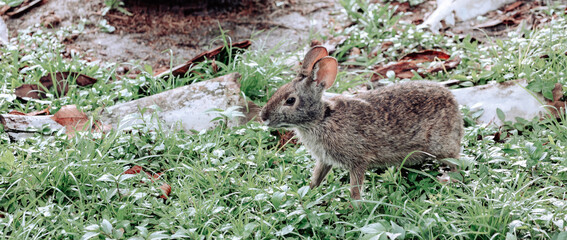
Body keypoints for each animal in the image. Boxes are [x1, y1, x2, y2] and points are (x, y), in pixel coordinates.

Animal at [260, 46, 464, 200]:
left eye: (290, 101)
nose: (263, 116)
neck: (321, 118)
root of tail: (453, 102)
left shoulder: (357, 160)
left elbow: (354, 189)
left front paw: (355, 208)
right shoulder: (324, 159)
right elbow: (316, 178)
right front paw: (308, 193)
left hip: (440, 146)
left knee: (455, 162)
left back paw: (449, 180)